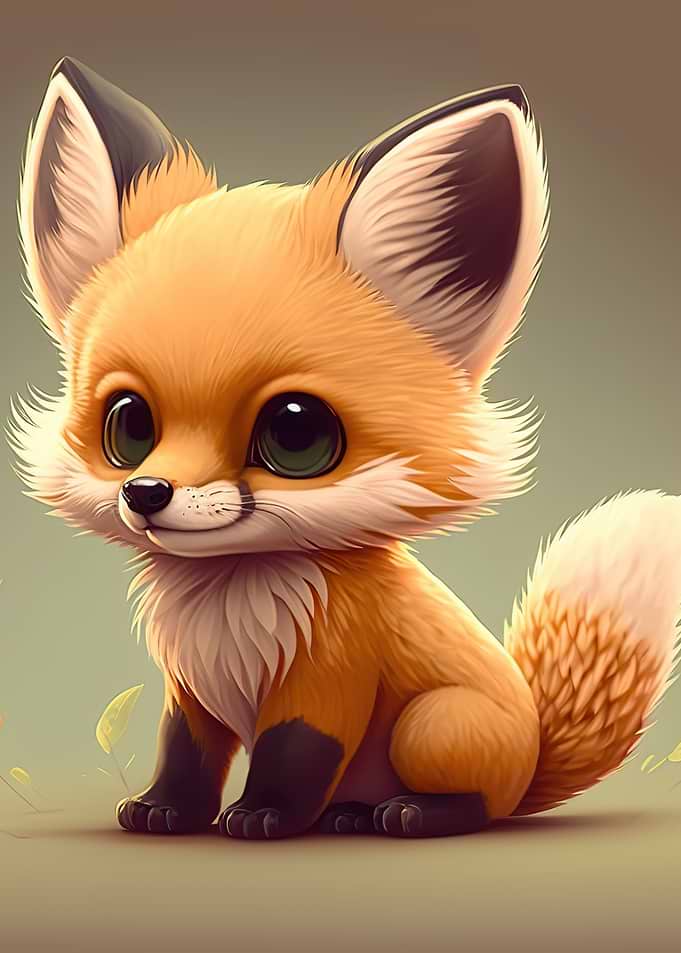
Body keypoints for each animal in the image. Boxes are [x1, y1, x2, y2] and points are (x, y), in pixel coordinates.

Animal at [10, 56, 681, 839]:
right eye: (128, 426)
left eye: (296, 432)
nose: (146, 494)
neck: (227, 607)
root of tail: (533, 754)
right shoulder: (190, 689)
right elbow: (184, 753)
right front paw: (165, 809)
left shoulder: (329, 679)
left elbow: (294, 753)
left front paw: (263, 814)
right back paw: (350, 814)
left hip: (431, 725)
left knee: (477, 804)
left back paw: (408, 813)